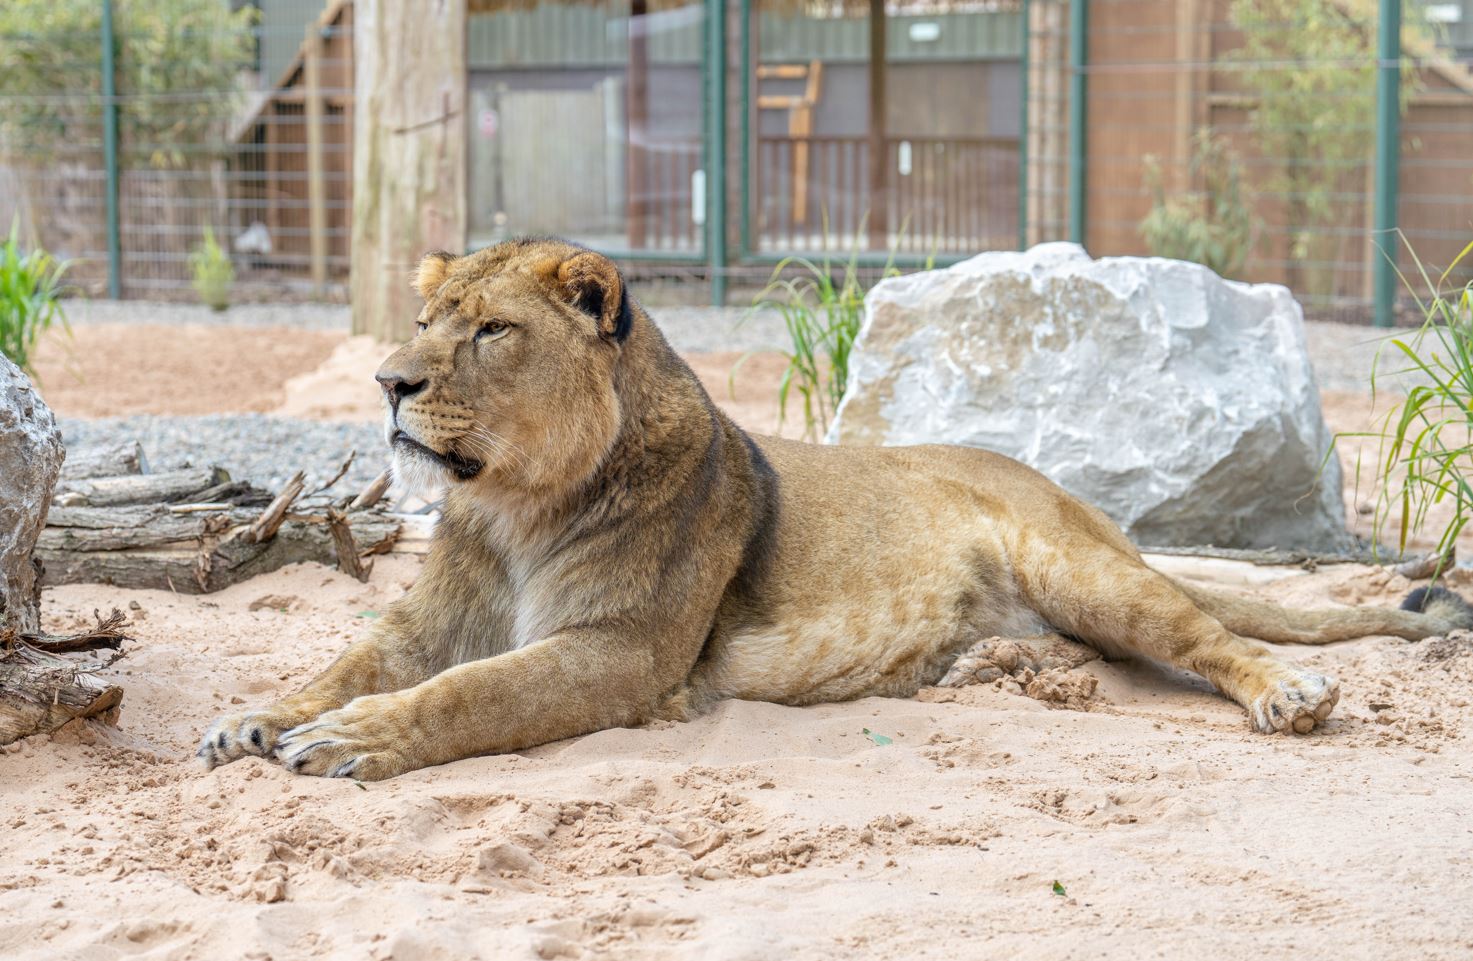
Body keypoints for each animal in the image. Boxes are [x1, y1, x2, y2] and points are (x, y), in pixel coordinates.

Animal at [198, 238, 1473, 778]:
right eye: (425, 322)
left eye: (491, 331)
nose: (387, 383)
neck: (512, 507)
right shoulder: (428, 623)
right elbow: (346, 663)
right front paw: (256, 717)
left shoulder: (623, 652)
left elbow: (469, 694)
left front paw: (353, 741)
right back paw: (989, 669)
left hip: (1086, 569)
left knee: (1212, 636)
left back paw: (1289, 696)